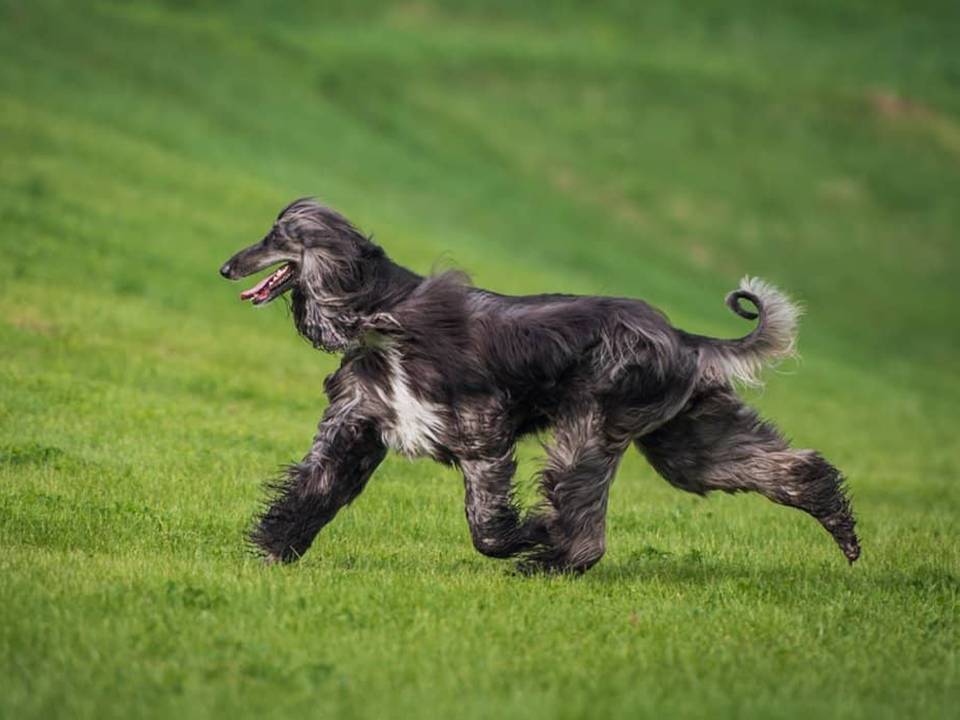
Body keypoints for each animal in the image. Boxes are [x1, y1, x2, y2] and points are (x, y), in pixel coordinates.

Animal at [221, 197, 860, 572]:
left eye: (276, 236)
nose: (226, 267)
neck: (383, 316)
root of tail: (680, 335)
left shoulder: (479, 430)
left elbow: (487, 526)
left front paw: (529, 533)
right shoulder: (358, 422)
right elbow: (316, 486)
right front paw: (274, 549)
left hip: (596, 418)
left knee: (583, 518)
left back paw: (550, 559)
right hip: (681, 434)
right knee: (779, 468)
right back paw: (842, 527)